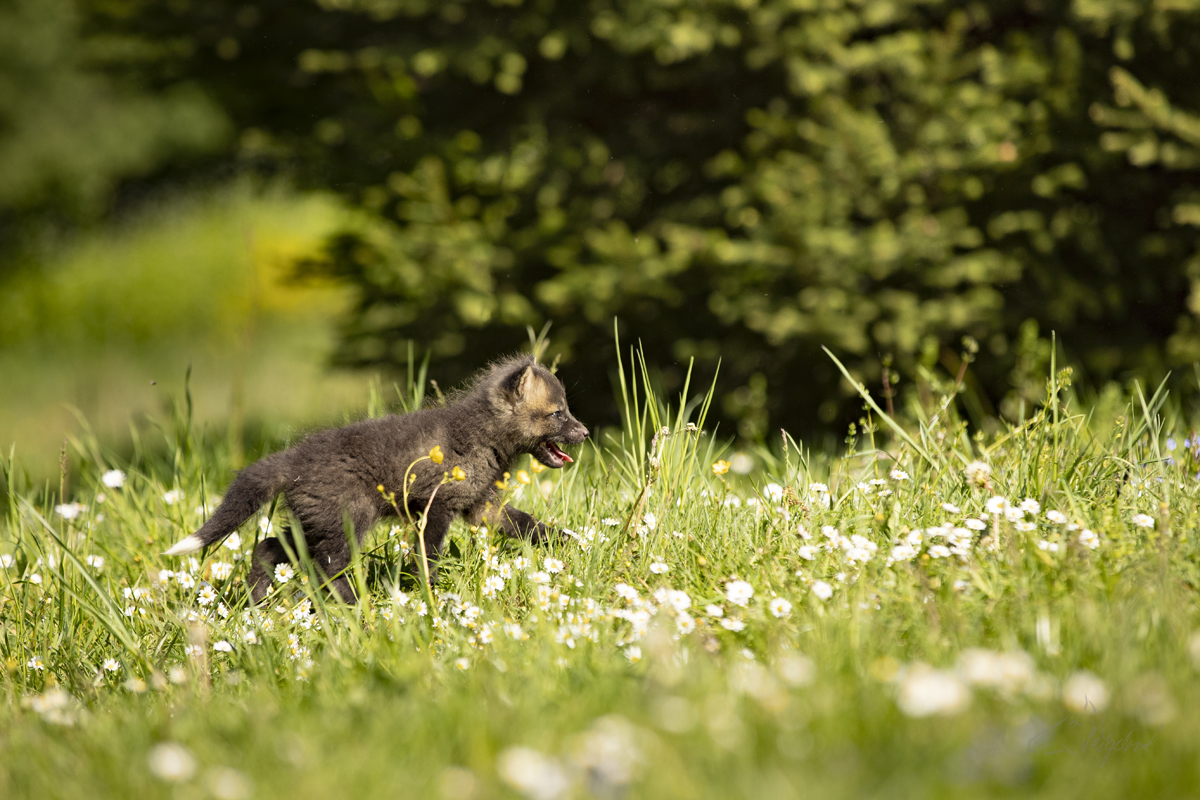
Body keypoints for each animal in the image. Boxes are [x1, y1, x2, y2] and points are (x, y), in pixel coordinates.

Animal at [163, 357, 585, 599]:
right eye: (558, 413)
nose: (584, 433)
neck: (482, 438)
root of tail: (292, 459)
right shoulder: (435, 506)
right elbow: (427, 556)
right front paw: (429, 595)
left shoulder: (482, 508)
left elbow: (533, 527)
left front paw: (572, 546)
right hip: (349, 522)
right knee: (327, 571)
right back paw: (355, 606)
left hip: (314, 524)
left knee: (268, 548)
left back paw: (256, 602)